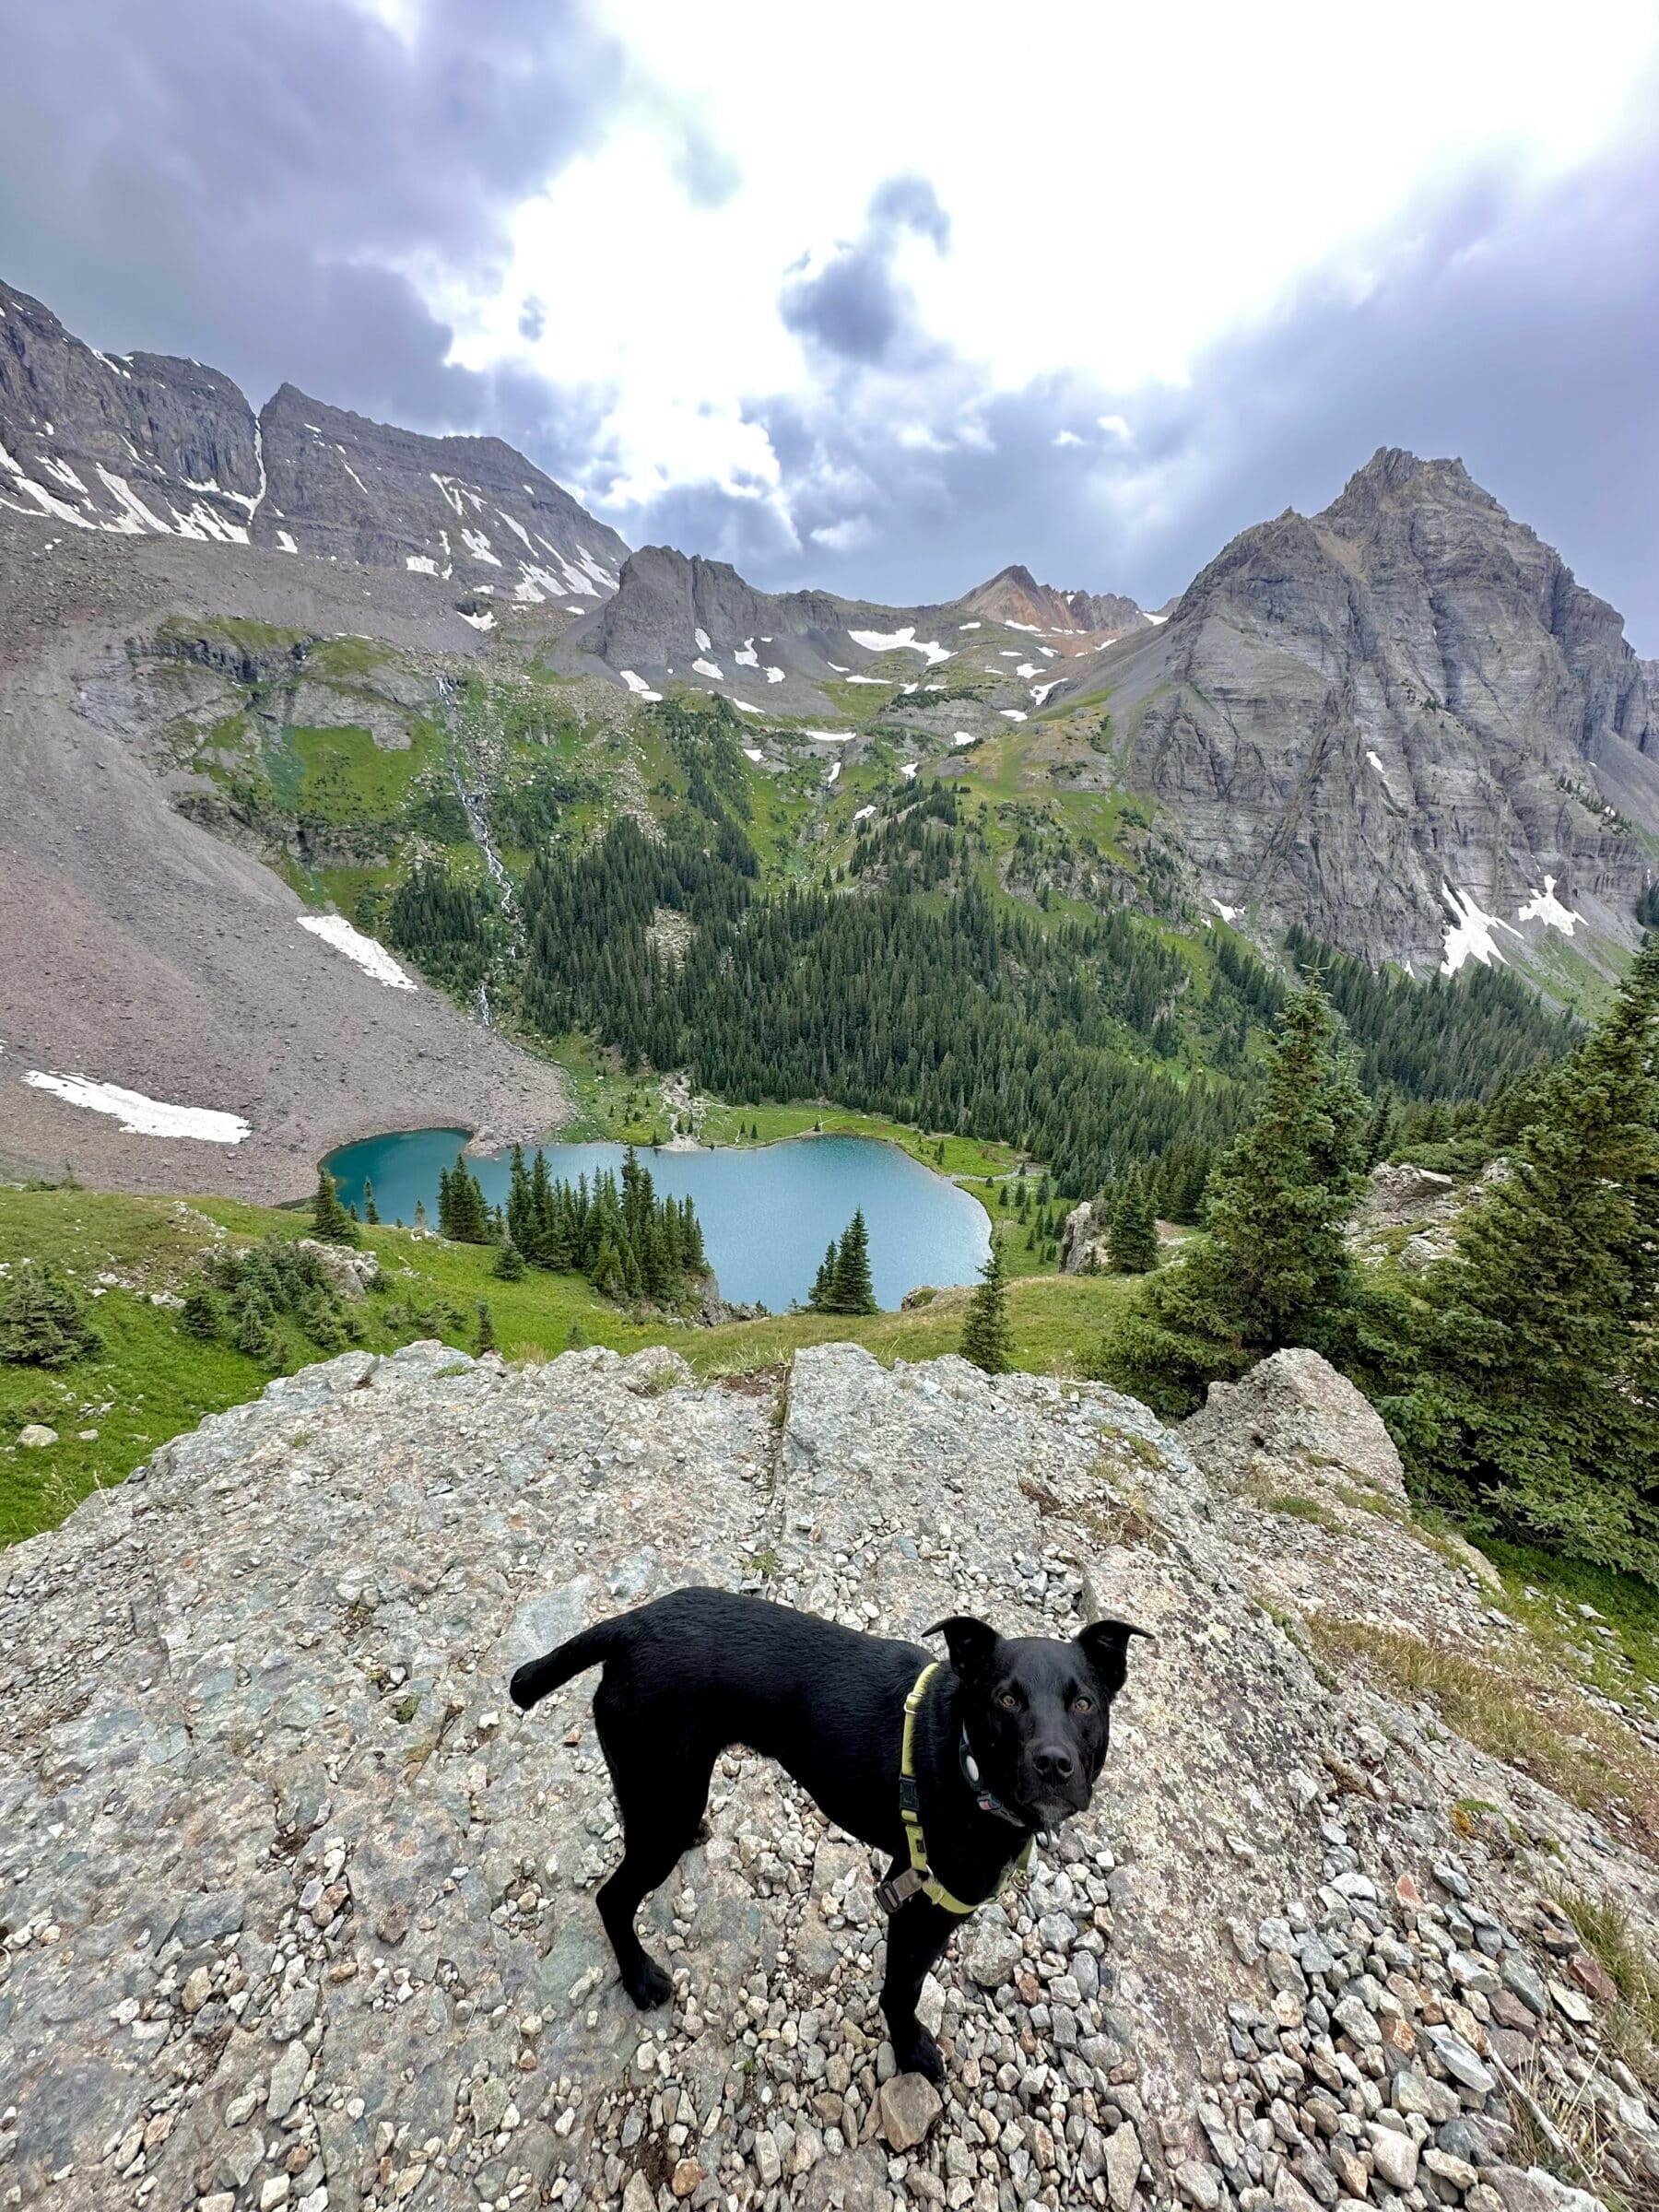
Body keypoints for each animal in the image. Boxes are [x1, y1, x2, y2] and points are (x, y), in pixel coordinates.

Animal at [512, 1593, 1150, 2070]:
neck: (964, 1758)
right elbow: (903, 1989)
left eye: (1085, 1704)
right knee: (612, 1897)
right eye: (1007, 1699)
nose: (1053, 1763)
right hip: (662, 1805)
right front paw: (909, 2049)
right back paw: (640, 1979)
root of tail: (630, 1625)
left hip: (666, 1798)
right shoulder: (922, 1905)